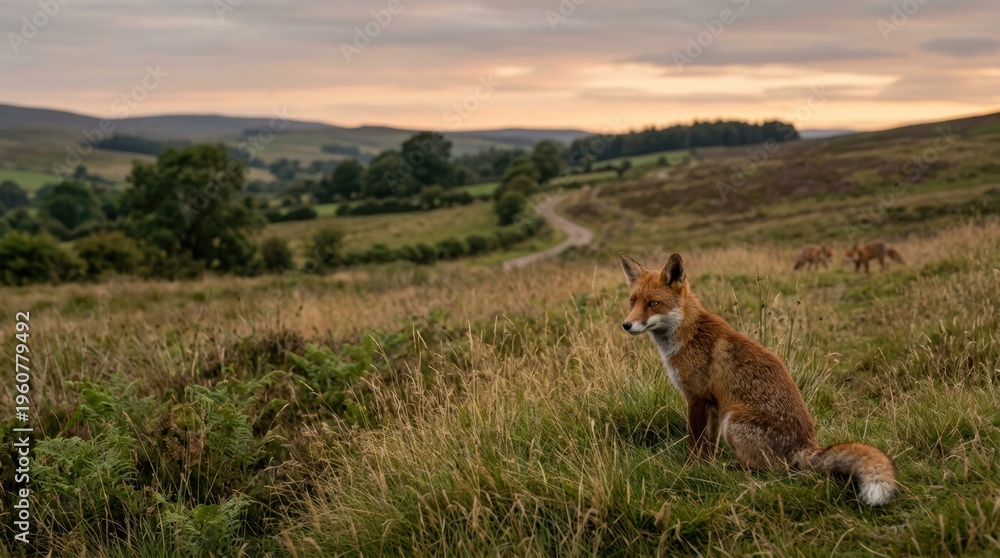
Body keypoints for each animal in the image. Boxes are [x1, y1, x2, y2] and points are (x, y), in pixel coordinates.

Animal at [619, 252, 897, 506]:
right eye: (633, 301)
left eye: (653, 303)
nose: (626, 325)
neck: (687, 335)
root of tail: (807, 444)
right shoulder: (714, 405)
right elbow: (709, 446)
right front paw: (705, 468)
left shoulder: (696, 398)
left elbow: (694, 443)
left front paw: (689, 469)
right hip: (729, 417)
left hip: (734, 422)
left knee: (772, 471)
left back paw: (737, 472)